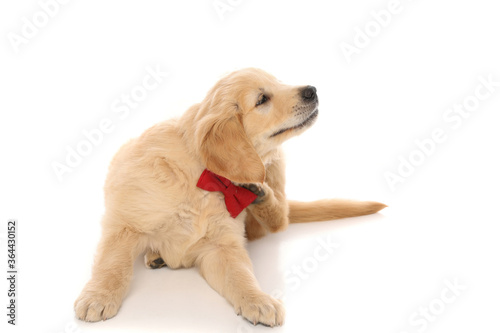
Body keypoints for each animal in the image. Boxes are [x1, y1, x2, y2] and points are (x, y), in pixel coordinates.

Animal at [75, 67, 386, 324]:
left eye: (279, 82)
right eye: (262, 99)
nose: (312, 90)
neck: (210, 179)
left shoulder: (222, 246)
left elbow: (240, 274)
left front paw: (258, 300)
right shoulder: (124, 225)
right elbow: (112, 266)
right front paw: (98, 296)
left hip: (276, 172)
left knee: (281, 218)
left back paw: (261, 196)